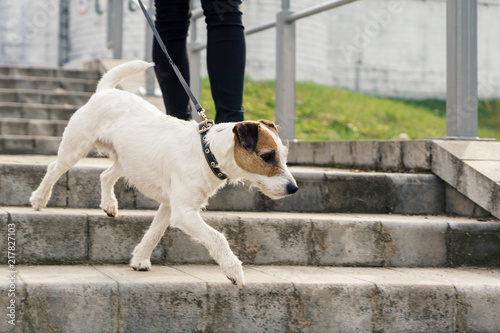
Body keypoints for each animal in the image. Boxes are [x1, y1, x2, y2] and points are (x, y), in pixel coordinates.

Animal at [29, 60, 296, 286]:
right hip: (75, 147)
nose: (293, 188)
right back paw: (39, 200)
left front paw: (139, 259)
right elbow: (216, 237)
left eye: (283, 154)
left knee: (106, 175)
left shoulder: (170, 206)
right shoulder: (184, 211)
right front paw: (234, 270)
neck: (206, 151)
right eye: (267, 156)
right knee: (54, 169)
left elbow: (155, 232)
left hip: (127, 160)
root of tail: (105, 91)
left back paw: (109, 204)